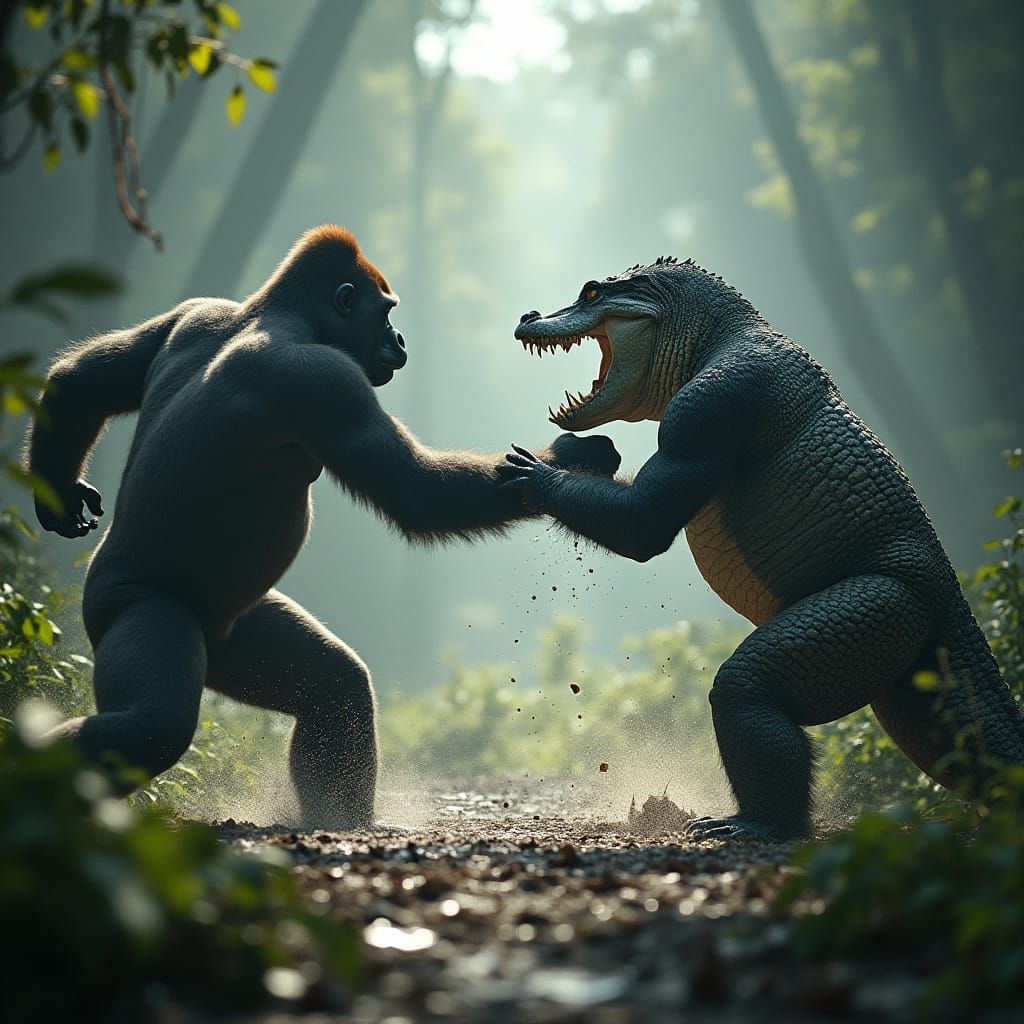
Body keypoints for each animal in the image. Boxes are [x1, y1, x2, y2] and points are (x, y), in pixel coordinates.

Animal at [24, 225, 621, 828]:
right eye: (385, 312)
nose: (400, 338)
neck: (268, 314)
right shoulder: (326, 380)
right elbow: (417, 492)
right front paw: (570, 458)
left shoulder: (196, 312)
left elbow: (84, 382)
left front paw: (57, 493)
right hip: (135, 605)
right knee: (153, 723)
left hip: (234, 638)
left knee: (334, 689)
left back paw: (338, 815)